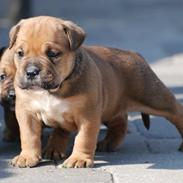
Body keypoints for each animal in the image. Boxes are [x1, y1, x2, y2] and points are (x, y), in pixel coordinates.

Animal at [9, 16, 183, 168]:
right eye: (20, 53)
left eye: (53, 53)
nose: (31, 72)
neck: (53, 90)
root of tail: (134, 54)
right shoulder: (27, 113)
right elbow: (29, 136)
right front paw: (27, 157)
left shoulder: (88, 115)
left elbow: (84, 138)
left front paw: (79, 159)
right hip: (112, 106)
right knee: (120, 122)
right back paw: (106, 143)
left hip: (154, 97)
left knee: (176, 112)